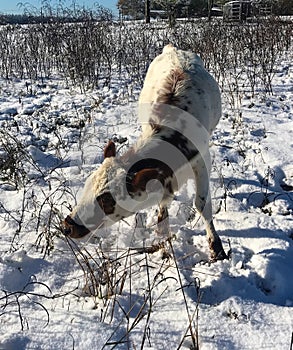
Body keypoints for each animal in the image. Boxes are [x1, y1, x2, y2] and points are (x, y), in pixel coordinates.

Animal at [62, 44, 227, 260]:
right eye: (86, 186)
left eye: (107, 199)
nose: (68, 226)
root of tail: (172, 48)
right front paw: (162, 230)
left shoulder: (202, 160)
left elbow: (201, 203)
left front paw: (216, 246)